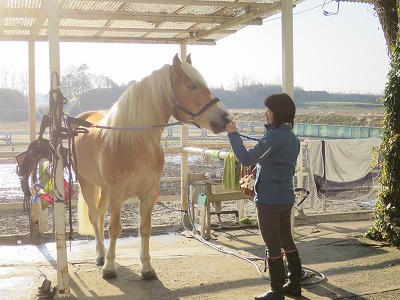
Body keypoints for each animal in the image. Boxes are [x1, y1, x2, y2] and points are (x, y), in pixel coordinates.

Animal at [74, 53, 231, 278]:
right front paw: (110, 267)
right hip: (86, 182)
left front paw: (147, 267)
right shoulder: (117, 195)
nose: (225, 117)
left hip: (103, 188)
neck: (135, 141)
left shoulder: (148, 194)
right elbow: (115, 229)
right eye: (191, 85)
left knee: (101, 214)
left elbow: (145, 228)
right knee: (95, 217)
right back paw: (100, 255)